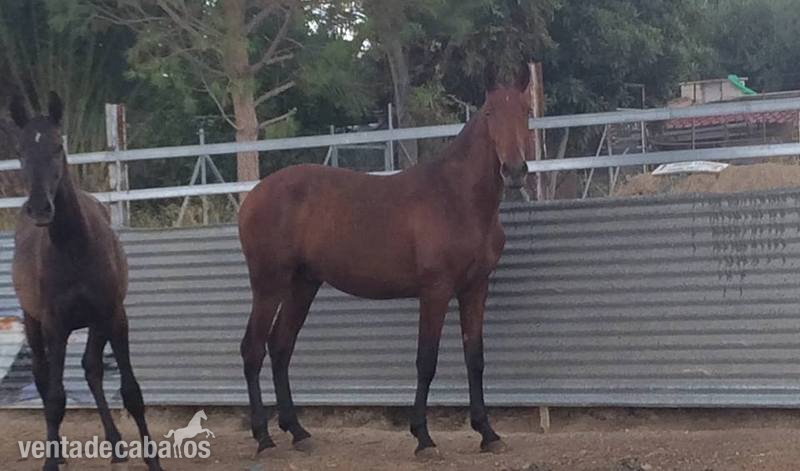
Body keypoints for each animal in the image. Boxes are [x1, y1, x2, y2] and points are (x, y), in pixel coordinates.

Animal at [10, 93, 162, 471]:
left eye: (57, 146)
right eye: (20, 149)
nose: (40, 208)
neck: (76, 247)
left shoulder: (113, 316)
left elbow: (131, 392)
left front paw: (152, 460)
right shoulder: (55, 325)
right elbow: (55, 399)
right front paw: (50, 461)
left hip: (96, 323)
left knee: (92, 369)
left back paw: (116, 445)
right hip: (33, 322)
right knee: (43, 375)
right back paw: (60, 451)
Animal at [238, 62, 532, 458]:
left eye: (526, 112)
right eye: (489, 113)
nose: (514, 171)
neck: (457, 198)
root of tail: (253, 197)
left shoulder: (475, 288)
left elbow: (475, 358)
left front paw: (487, 433)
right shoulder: (436, 290)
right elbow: (426, 360)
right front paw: (423, 437)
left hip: (303, 284)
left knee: (280, 347)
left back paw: (297, 432)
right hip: (269, 285)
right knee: (253, 350)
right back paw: (264, 439)